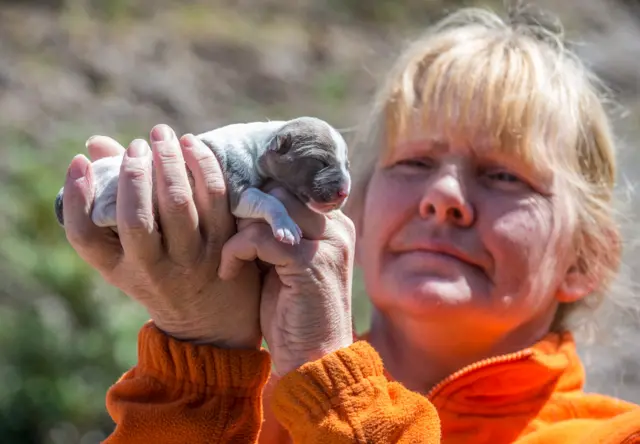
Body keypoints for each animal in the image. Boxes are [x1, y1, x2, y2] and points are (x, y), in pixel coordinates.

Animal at [56, 116, 350, 245]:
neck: (262, 142)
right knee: (98, 213)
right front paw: (286, 226)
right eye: (320, 162)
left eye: (347, 164)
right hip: (105, 187)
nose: (344, 192)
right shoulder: (237, 188)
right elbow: (270, 202)